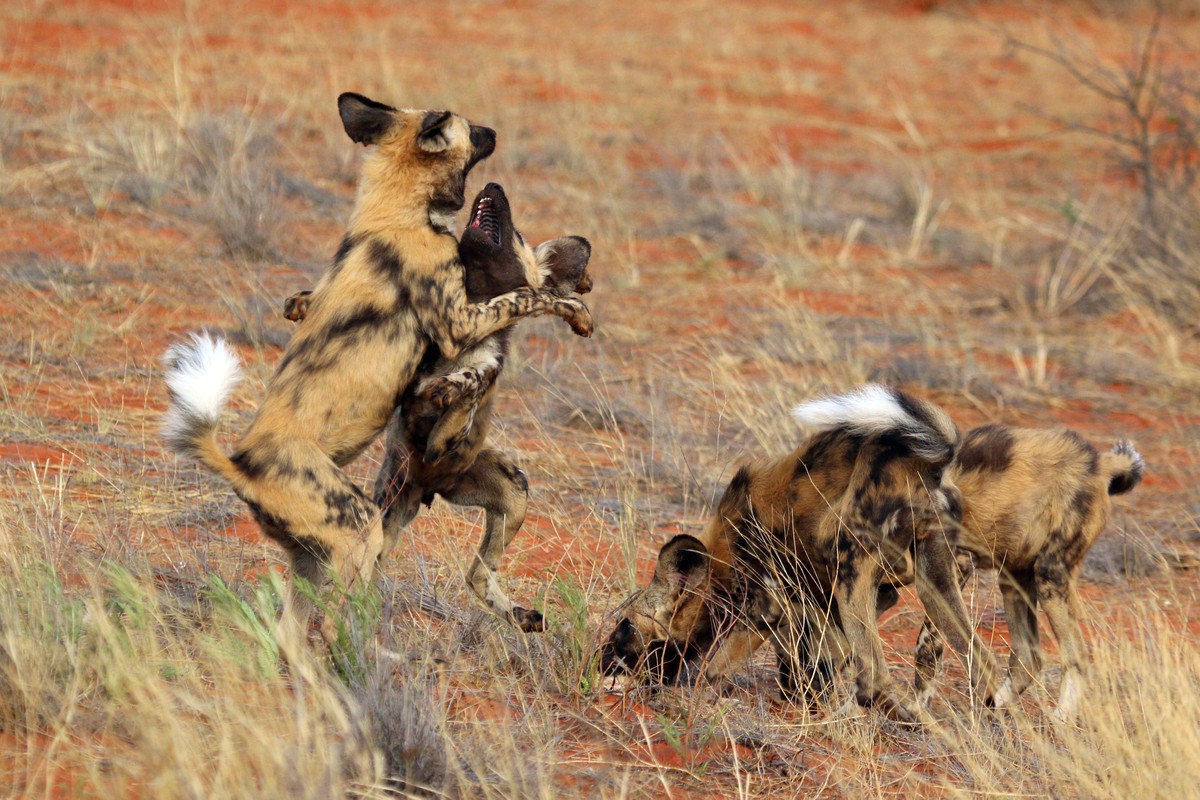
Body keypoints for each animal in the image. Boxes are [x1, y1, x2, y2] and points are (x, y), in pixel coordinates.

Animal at [162, 94, 592, 642]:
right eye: (472, 129)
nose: (495, 132)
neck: (396, 213)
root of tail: (239, 464)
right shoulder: (459, 323)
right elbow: (527, 297)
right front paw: (574, 309)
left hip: (324, 551)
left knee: (295, 631)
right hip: (361, 525)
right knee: (339, 618)